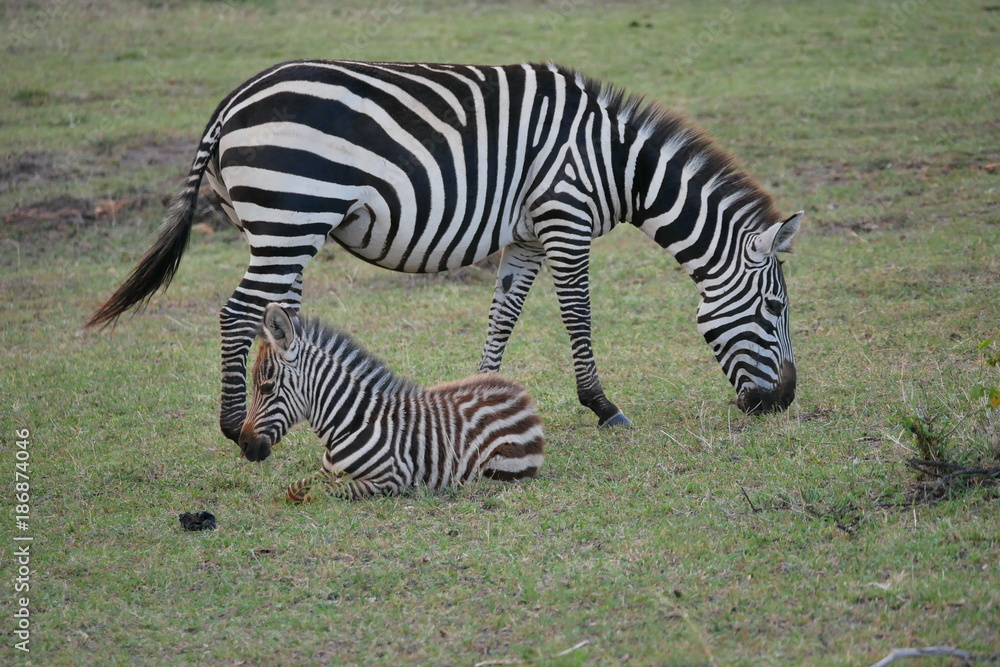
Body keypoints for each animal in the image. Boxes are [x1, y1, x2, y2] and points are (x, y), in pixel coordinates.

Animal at [88, 58, 804, 444]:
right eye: (775, 310)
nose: (783, 402)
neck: (617, 164)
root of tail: (232, 101)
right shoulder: (565, 217)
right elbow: (577, 314)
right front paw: (602, 406)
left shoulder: (525, 236)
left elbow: (504, 316)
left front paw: (484, 398)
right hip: (290, 214)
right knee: (237, 313)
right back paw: (235, 426)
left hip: (275, 226)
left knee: (276, 317)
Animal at [239, 306, 544, 498]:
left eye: (266, 388)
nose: (243, 444)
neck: (349, 424)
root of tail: (520, 393)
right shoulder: (325, 471)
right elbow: (295, 490)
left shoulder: (391, 479)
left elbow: (318, 493)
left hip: (496, 467)